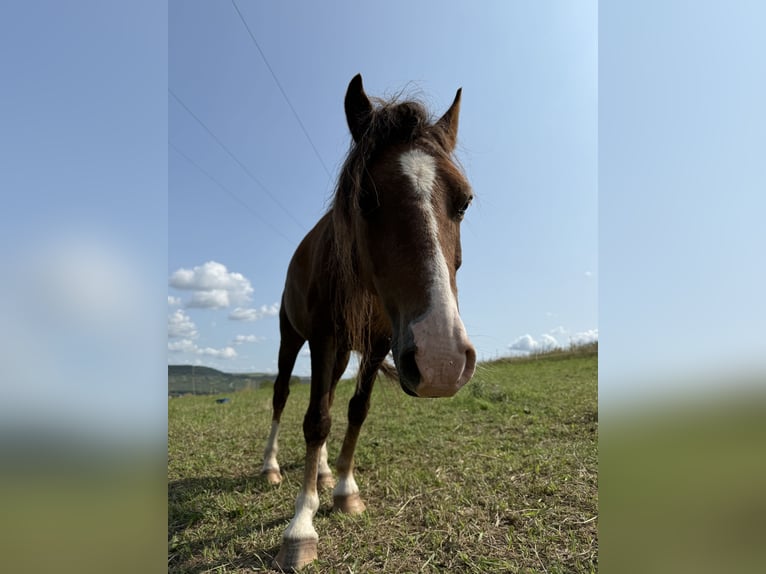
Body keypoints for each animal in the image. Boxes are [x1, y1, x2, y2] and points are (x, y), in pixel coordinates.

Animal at [261, 74, 476, 571]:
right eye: (364, 197)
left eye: (465, 202)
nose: (442, 361)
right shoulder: (321, 337)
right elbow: (315, 419)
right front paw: (301, 526)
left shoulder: (379, 341)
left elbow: (354, 410)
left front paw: (343, 489)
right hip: (292, 338)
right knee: (283, 397)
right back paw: (271, 466)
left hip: (342, 351)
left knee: (329, 395)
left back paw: (321, 472)